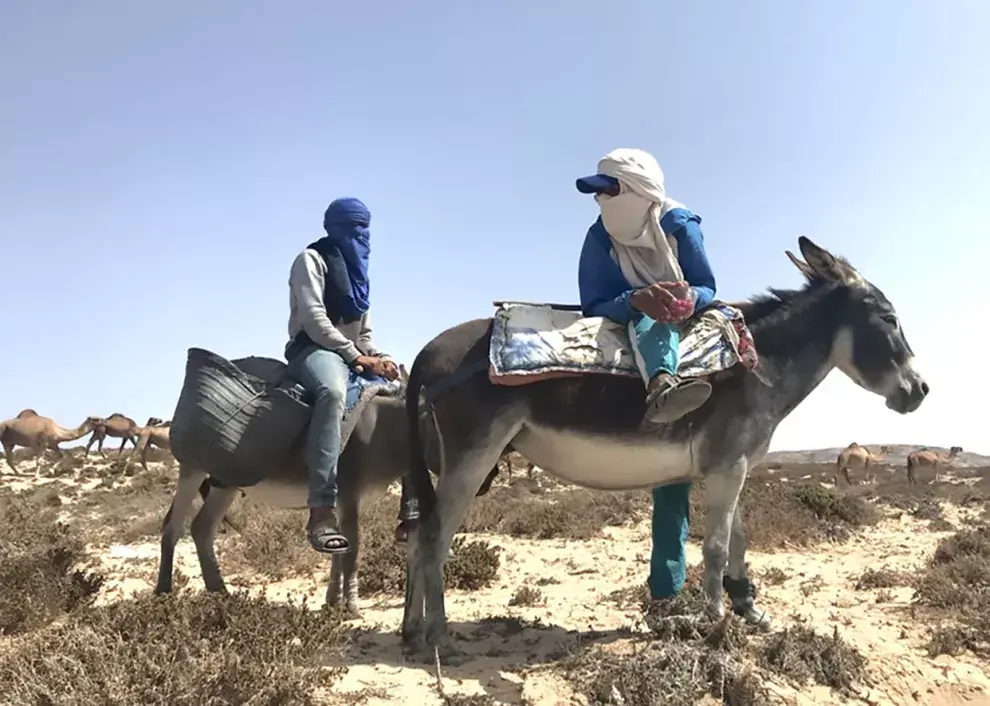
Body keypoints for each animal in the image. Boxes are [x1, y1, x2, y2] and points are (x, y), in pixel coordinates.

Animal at [402, 236, 928, 660]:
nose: (920, 391)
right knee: (434, 538)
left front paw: (749, 610)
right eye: (888, 318)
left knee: (418, 538)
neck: (757, 363)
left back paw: (411, 635)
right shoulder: (728, 467)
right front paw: (715, 622)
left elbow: (739, 538)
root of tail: (427, 351)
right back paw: (441, 638)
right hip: (474, 456)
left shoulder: (732, 467)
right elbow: (715, 546)